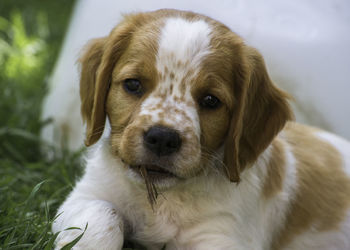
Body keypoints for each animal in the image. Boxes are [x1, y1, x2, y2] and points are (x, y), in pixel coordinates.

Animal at [52, 8, 350, 249]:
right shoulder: (86, 195)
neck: (161, 198)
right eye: (133, 84)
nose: (162, 138)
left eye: (210, 100)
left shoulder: (222, 235)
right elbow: (103, 216)